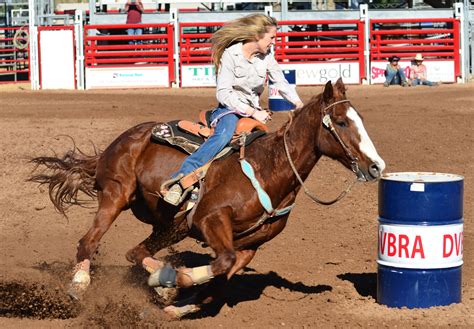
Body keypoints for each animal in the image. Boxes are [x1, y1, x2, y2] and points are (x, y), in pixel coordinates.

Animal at [28, 78, 386, 316]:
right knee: (88, 241)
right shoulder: (211, 219)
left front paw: (173, 301)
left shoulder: (249, 246)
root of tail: (123, 139)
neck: (270, 168)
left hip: (172, 225)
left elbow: (218, 282)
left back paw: (160, 283)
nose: (376, 166)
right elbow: (220, 265)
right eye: (340, 122)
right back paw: (79, 285)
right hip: (116, 195)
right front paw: (175, 280)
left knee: (135, 252)